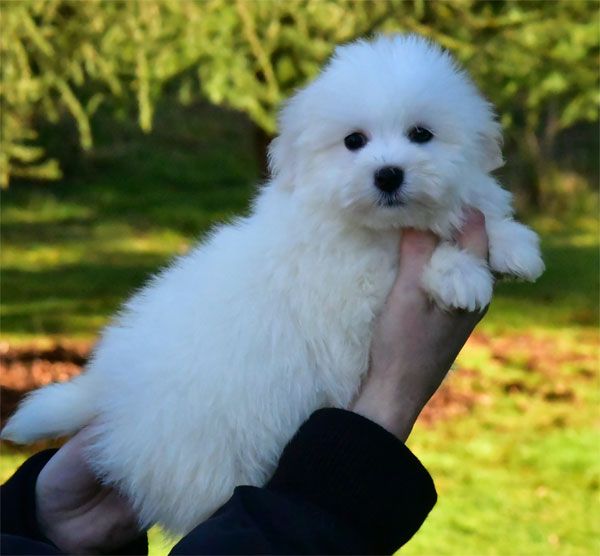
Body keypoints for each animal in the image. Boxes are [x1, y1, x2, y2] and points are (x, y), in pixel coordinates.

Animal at [1, 34, 544, 536]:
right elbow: (417, 259)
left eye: (421, 134)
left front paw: (515, 246)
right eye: (353, 142)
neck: (378, 226)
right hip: (208, 461)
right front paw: (461, 272)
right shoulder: (358, 288)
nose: (388, 175)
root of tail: (108, 393)